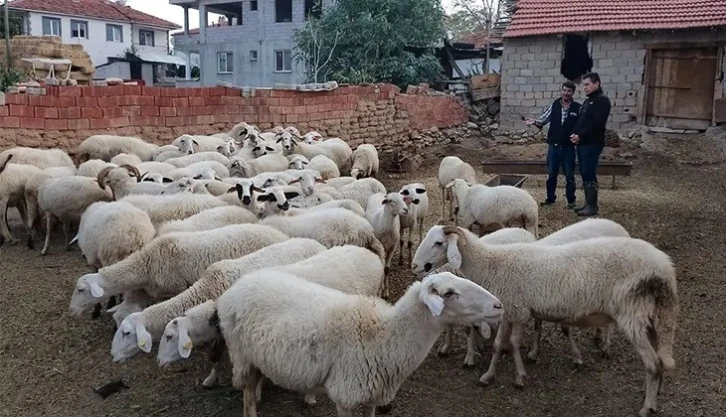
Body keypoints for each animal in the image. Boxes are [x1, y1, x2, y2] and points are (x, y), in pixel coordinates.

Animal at [219, 268, 504, 414]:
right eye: (449, 293)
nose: (498, 305)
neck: (382, 336)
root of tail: (242, 282)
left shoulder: (374, 396)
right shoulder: (344, 395)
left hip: (257, 358)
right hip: (241, 355)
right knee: (247, 394)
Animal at [412, 226, 680, 416]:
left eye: (438, 243)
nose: (415, 266)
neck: (490, 263)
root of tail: (665, 269)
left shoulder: (517, 309)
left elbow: (514, 343)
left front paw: (519, 377)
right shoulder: (507, 309)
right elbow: (499, 345)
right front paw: (488, 376)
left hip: (632, 311)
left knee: (652, 363)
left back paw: (647, 406)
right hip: (654, 315)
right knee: (660, 360)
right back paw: (658, 392)